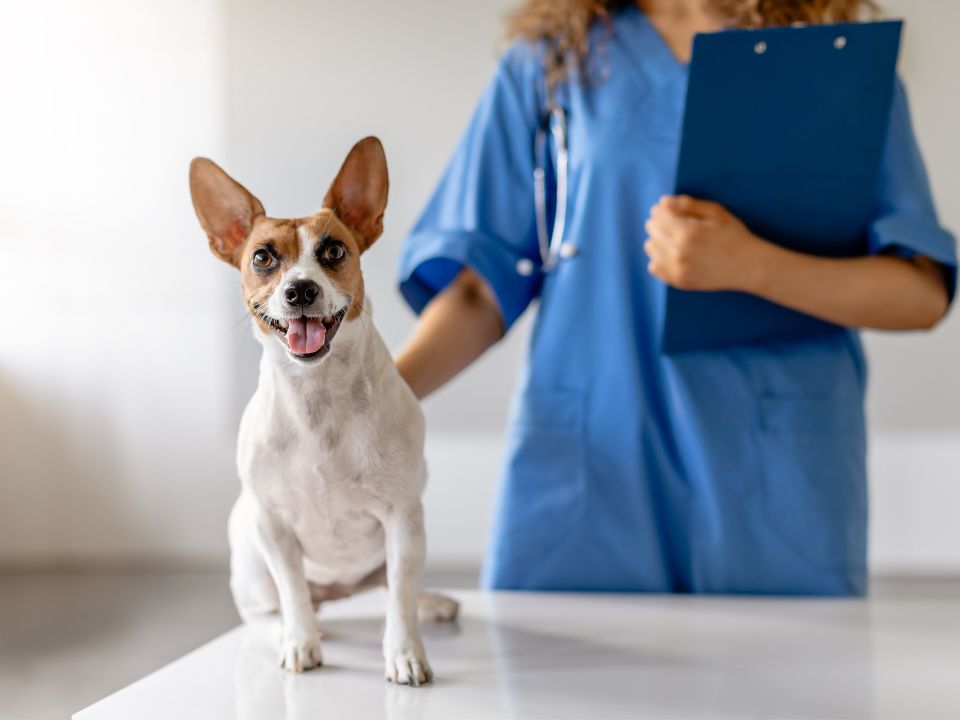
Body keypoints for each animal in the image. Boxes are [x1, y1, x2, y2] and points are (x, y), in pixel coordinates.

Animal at [189, 138, 460, 684]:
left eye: (334, 251)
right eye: (262, 257)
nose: (300, 289)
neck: (317, 398)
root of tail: (338, 590)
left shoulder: (402, 519)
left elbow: (400, 597)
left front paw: (405, 652)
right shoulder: (274, 527)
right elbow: (293, 592)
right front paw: (300, 643)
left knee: (396, 587)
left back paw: (432, 603)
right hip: (253, 565)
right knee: (272, 611)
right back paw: (297, 629)